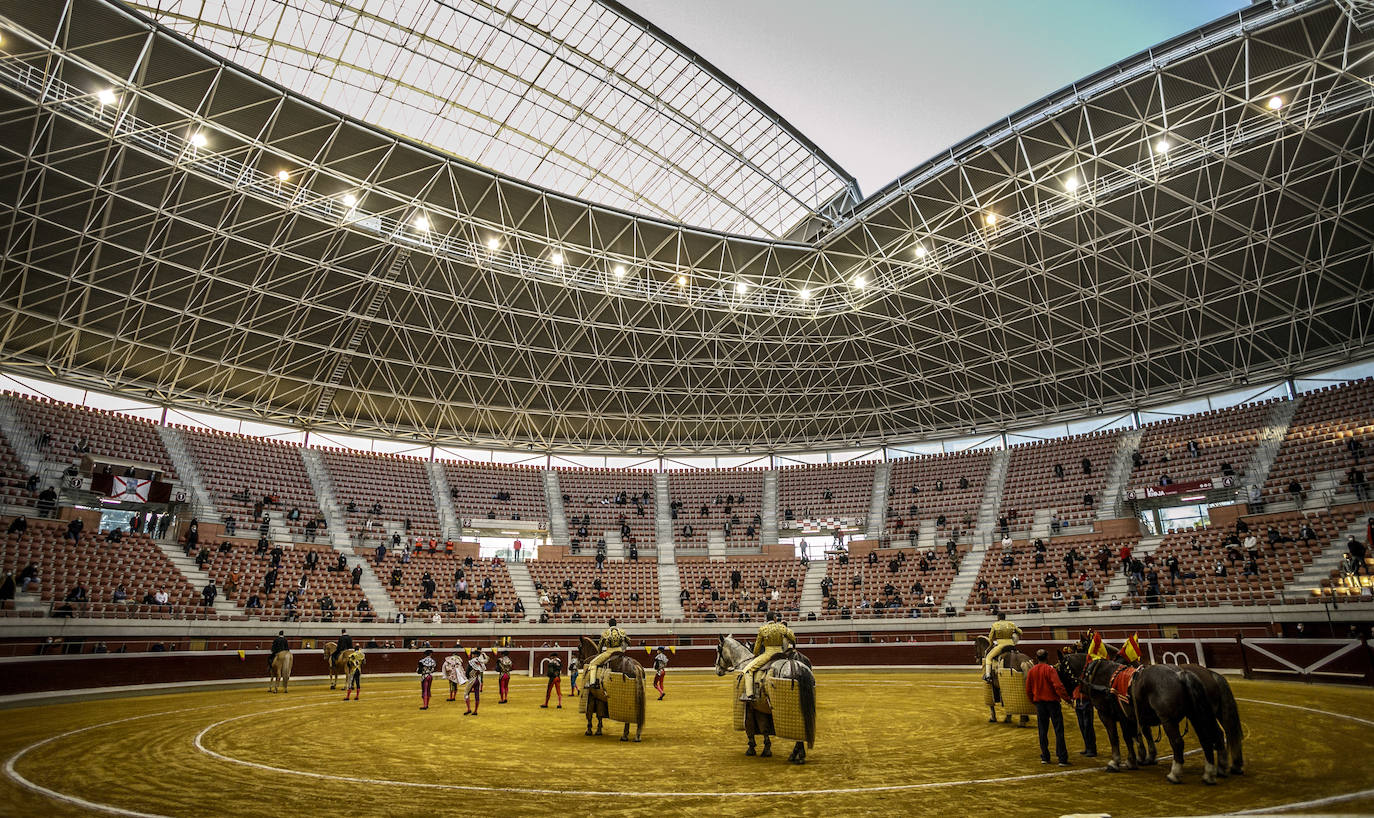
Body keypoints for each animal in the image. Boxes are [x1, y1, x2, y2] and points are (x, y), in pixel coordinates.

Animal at [1055, 648, 1231, 786]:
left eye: (1059, 670)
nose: (1065, 696)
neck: (1098, 675)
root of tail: (1181, 674)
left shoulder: (1107, 714)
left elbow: (1116, 737)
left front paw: (1116, 762)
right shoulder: (1128, 716)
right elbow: (1132, 737)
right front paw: (1136, 759)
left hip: (1168, 719)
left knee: (1178, 742)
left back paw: (1175, 774)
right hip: (1196, 714)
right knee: (1209, 737)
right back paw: (1212, 772)